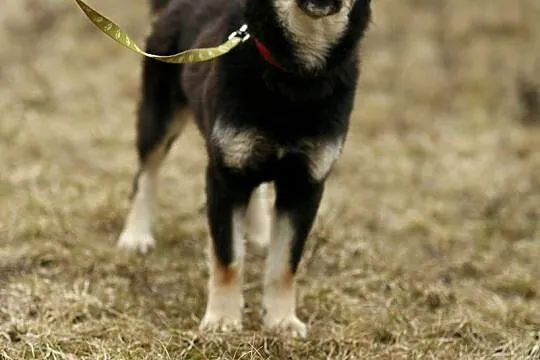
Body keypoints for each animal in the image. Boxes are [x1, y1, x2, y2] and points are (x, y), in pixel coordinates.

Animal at [118, 0, 372, 338]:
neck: (295, 77)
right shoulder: (226, 177)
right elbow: (228, 258)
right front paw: (222, 319)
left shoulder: (305, 185)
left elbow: (285, 263)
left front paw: (281, 320)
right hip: (160, 113)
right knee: (146, 173)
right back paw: (136, 235)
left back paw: (261, 233)